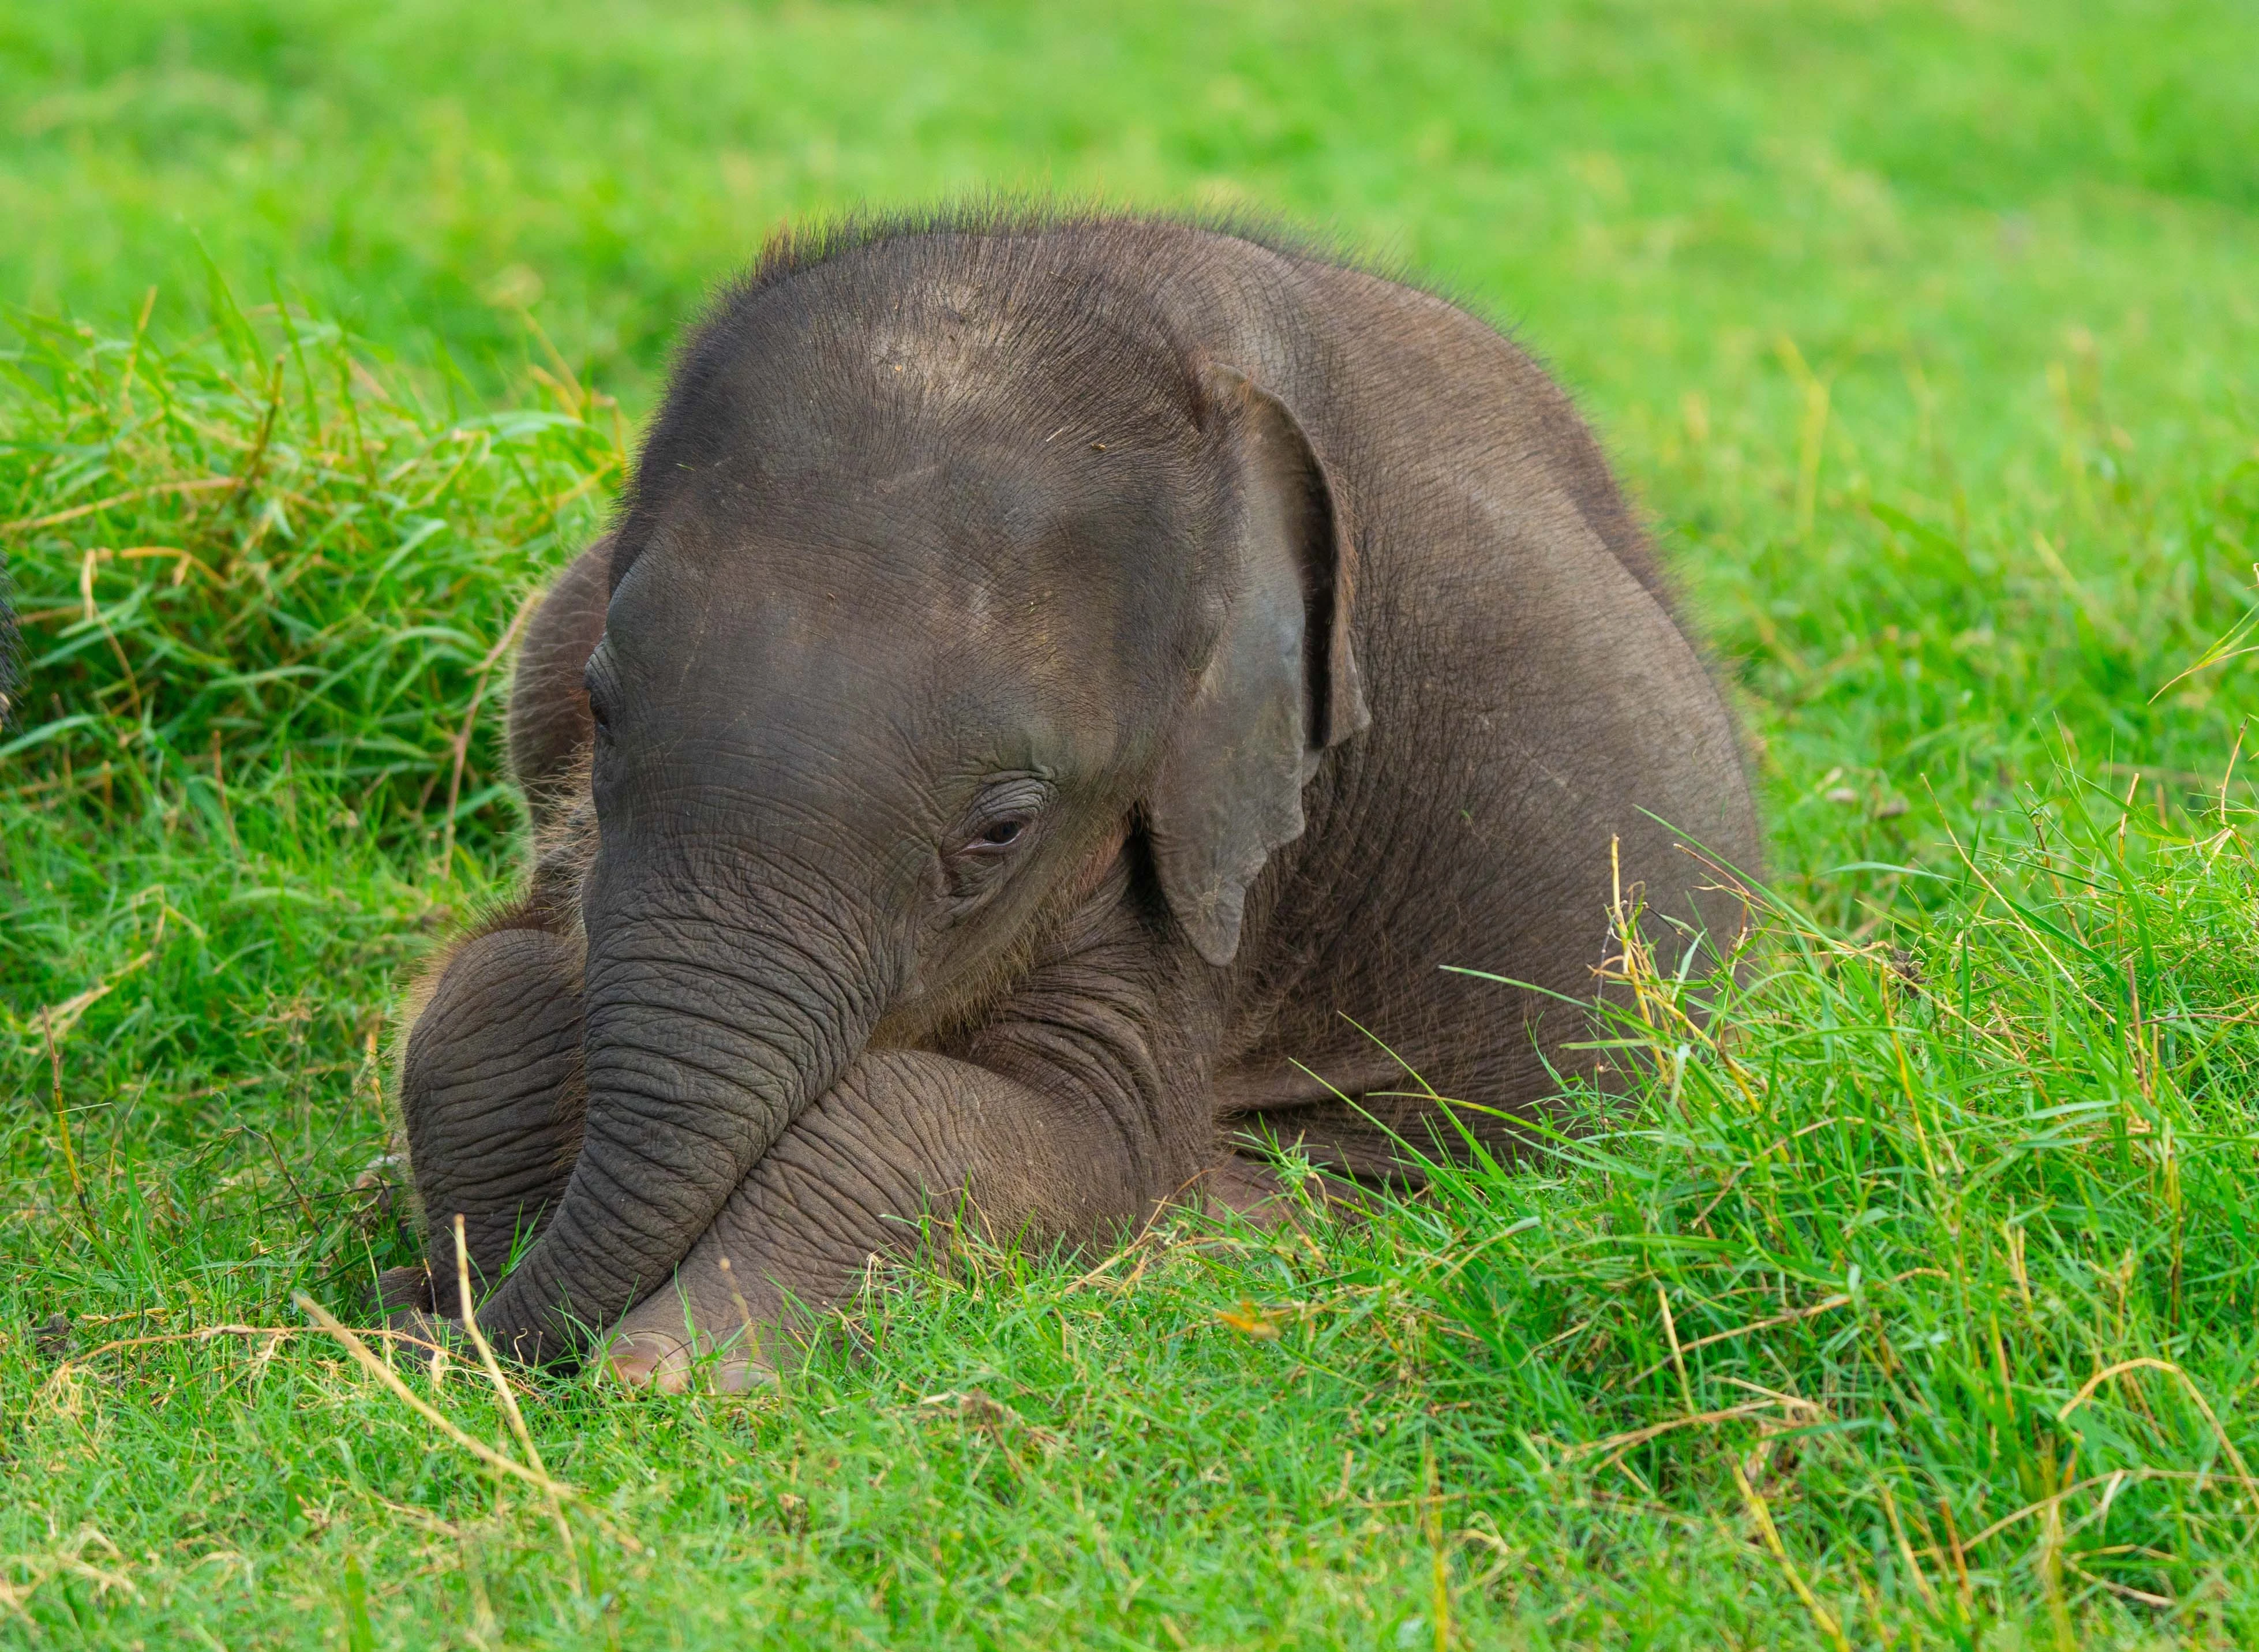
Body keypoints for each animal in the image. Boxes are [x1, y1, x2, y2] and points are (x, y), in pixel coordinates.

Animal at [385, 209, 1762, 1388]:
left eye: (1001, 828)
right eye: (601, 707)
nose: (426, 1329)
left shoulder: (1225, 842)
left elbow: (1082, 1136)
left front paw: (673, 1373)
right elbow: (497, 989)